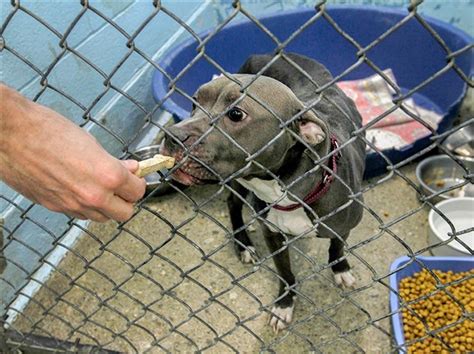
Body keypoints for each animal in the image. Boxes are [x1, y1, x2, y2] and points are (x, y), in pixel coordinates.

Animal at [161, 52, 364, 332]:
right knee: (233, 205)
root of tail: (262, 54)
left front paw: (340, 269)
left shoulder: (343, 226)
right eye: (194, 103)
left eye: (236, 114)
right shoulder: (272, 235)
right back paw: (243, 244)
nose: (170, 135)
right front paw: (284, 305)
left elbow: (337, 247)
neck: (286, 193)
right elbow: (285, 272)